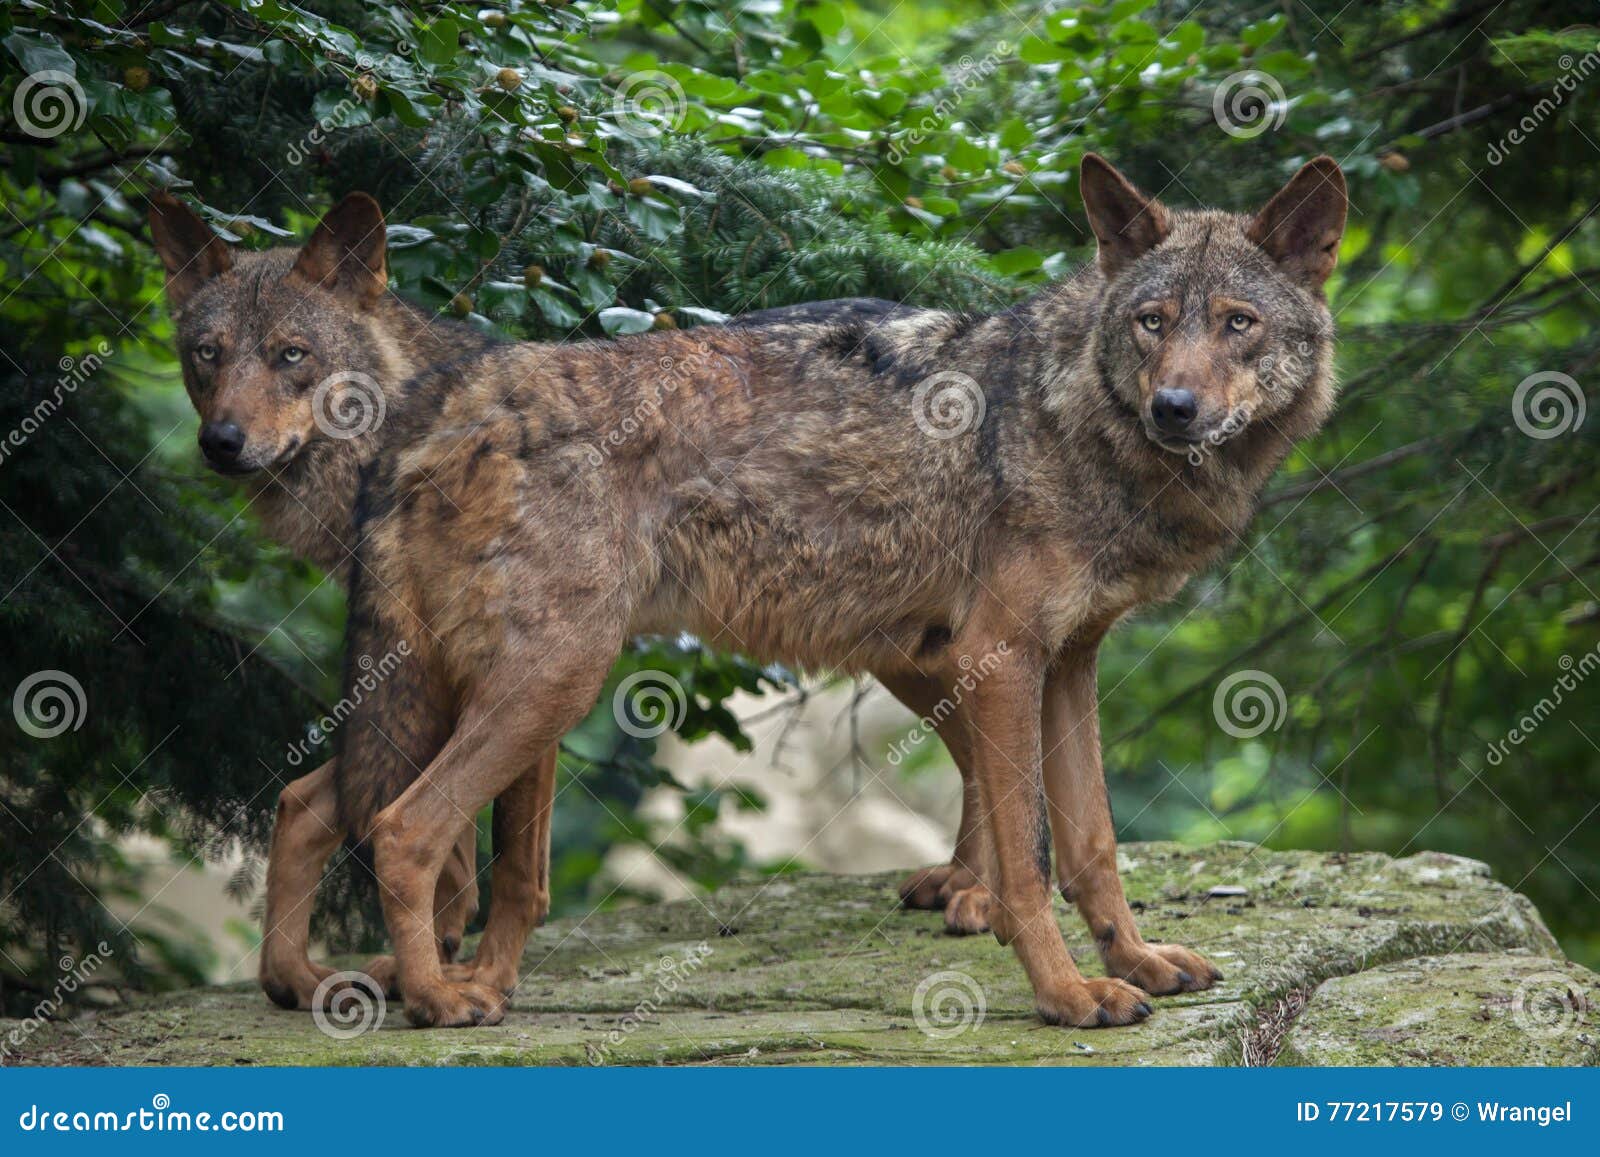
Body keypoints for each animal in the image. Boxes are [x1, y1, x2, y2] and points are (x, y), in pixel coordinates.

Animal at [152, 153, 1350, 1030]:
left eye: (1235, 322)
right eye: (1152, 322)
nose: (1176, 408)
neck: (1070, 417)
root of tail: (444, 406)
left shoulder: (1066, 664)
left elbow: (1091, 845)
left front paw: (1136, 962)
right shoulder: (1004, 655)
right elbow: (1031, 863)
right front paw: (1065, 996)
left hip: (489, 683)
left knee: (321, 802)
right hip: (550, 681)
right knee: (398, 825)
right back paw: (440, 1001)